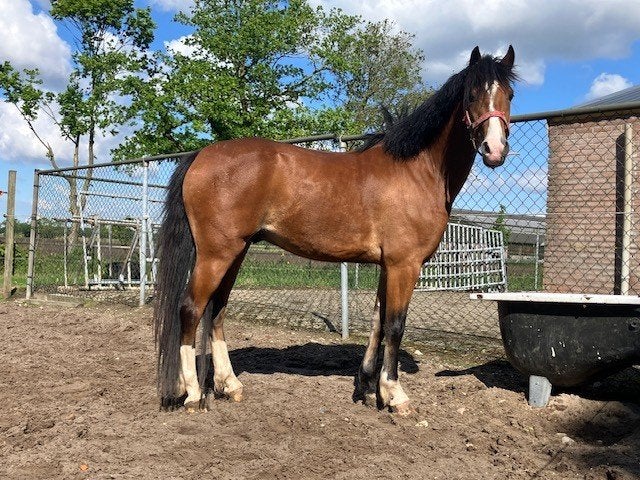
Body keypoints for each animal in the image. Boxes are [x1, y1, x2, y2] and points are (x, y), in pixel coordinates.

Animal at [154, 45, 517, 415]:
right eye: (471, 94)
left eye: (510, 95)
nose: (495, 150)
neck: (417, 170)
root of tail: (201, 155)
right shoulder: (404, 264)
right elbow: (395, 325)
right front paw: (395, 394)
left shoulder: (387, 266)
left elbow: (377, 323)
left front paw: (369, 388)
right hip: (216, 254)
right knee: (190, 309)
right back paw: (193, 393)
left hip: (236, 251)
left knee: (218, 310)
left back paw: (230, 385)